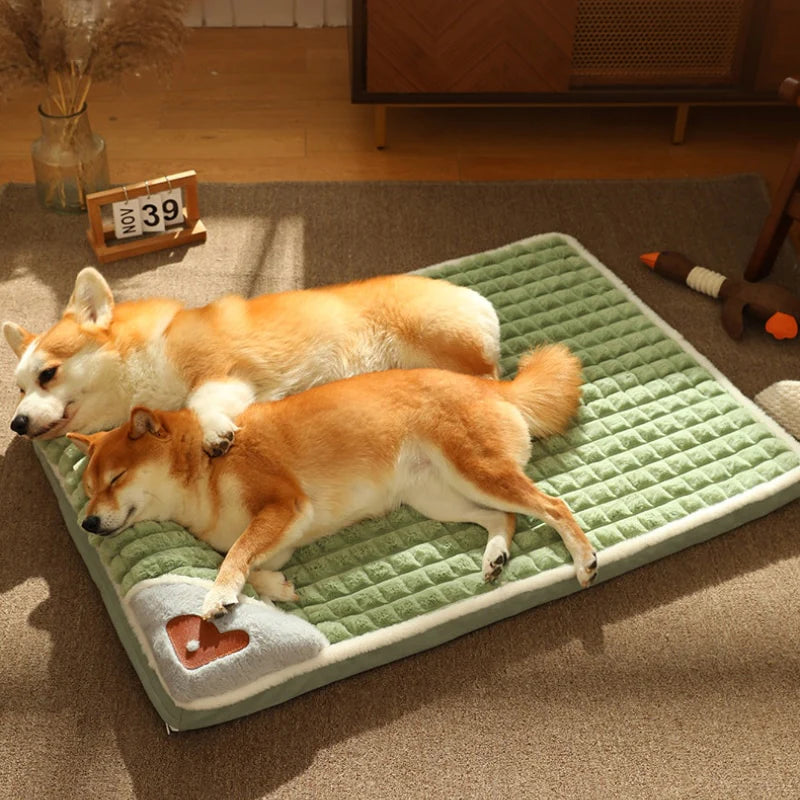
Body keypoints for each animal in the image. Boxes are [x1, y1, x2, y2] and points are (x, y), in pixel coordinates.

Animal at [3, 268, 500, 454]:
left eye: (48, 373)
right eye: (20, 389)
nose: (16, 424)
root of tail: (474, 297)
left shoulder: (222, 372)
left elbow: (200, 403)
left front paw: (215, 434)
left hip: (440, 340)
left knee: (488, 376)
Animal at [69, 344, 596, 620]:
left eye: (116, 478)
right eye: (89, 490)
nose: (88, 523)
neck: (205, 472)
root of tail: (494, 387)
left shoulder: (284, 504)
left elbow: (235, 554)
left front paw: (218, 595)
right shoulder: (280, 536)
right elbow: (247, 560)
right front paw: (276, 589)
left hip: (475, 471)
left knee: (553, 505)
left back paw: (584, 559)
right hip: (439, 498)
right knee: (505, 518)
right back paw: (495, 555)